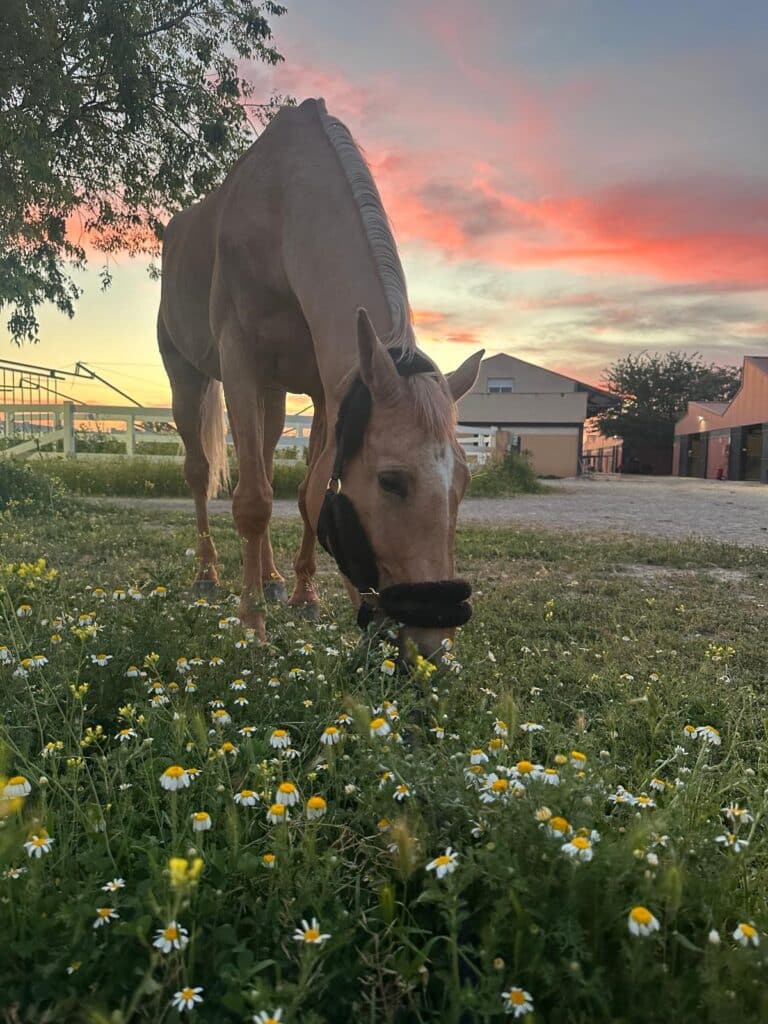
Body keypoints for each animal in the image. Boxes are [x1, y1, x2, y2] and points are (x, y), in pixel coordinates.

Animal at [158, 98, 483, 657]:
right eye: (391, 481)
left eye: (463, 481)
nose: (433, 646)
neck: (281, 209)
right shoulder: (240, 364)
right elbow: (253, 502)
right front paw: (252, 626)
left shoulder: (325, 388)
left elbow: (309, 493)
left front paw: (304, 596)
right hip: (189, 378)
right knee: (202, 473)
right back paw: (209, 575)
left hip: (272, 394)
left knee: (265, 458)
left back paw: (270, 579)